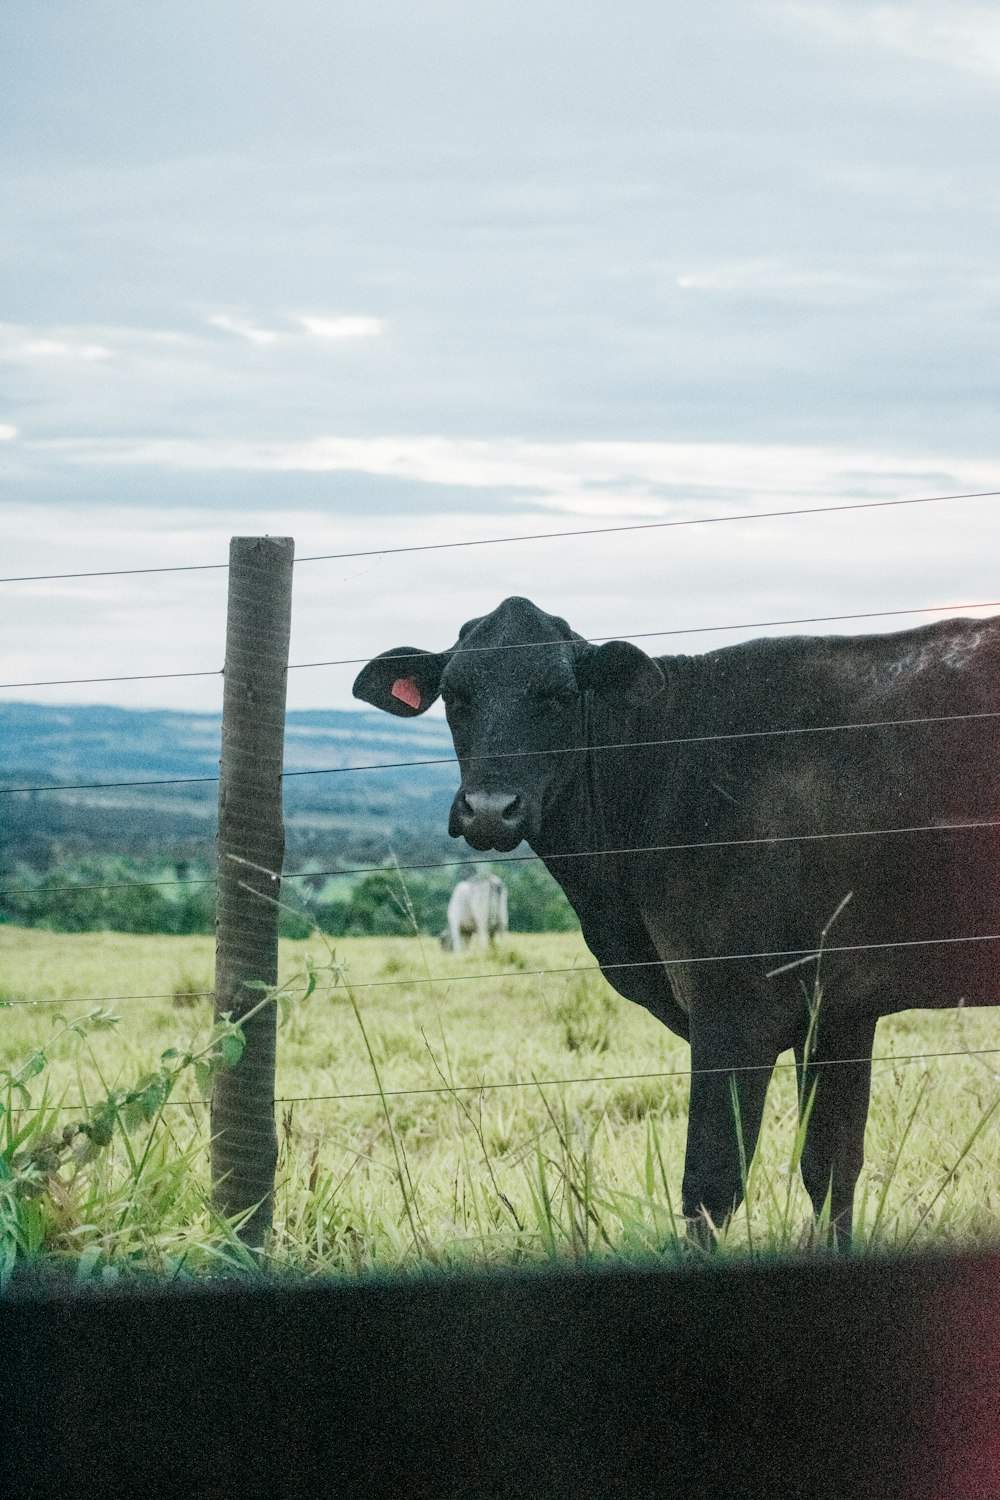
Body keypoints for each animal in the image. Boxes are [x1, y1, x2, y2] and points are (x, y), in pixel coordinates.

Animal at [355, 591, 1000, 1236]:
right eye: (455, 696)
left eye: (558, 693)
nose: (490, 809)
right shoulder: (840, 1008)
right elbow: (831, 1170)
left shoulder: (735, 1002)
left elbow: (710, 1187)